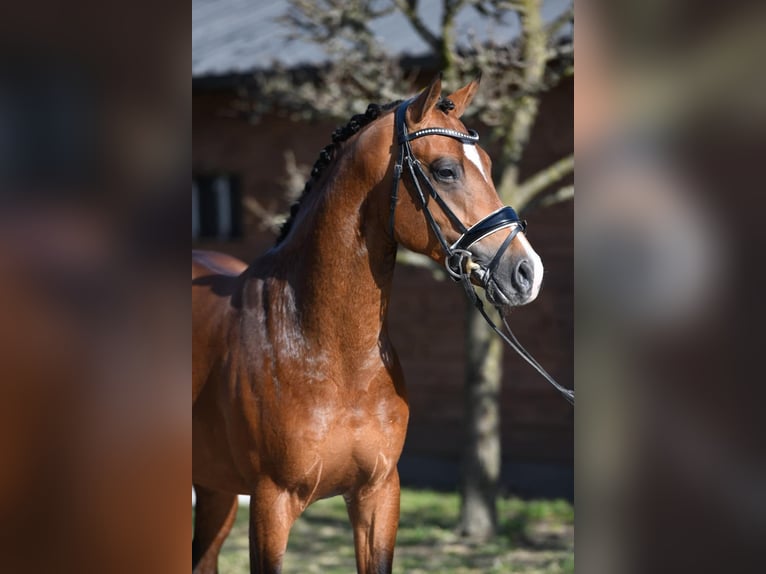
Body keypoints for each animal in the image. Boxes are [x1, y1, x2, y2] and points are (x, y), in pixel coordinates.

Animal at [194, 77, 544, 574]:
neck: (328, 351)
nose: (527, 272)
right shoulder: (270, 504)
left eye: (490, 166)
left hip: (215, 489)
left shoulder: (378, 494)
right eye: (445, 171)